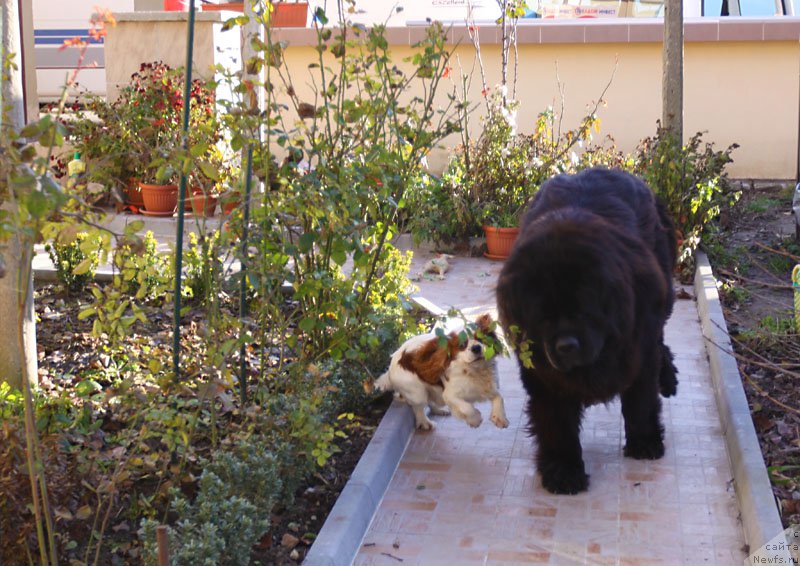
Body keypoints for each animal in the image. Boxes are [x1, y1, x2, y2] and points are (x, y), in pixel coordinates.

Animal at [374, 316, 506, 430]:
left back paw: (440, 410)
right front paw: (475, 420)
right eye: (462, 345)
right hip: (417, 392)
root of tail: (391, 365)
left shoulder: (489, 387)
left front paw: (499, 418)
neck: (474, 370)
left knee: (430, 402)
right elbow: (466, 407)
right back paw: (425, 423)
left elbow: (499, 397)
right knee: (418, 407)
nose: (476, 348)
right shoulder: (450, 395)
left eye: (481, 339)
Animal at [496, 169, 680, 496]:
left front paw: (645, 442)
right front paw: (563, 471)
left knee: (660, 341)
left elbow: (641, 399)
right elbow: (556, 421)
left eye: (584, 310)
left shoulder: (638, 347)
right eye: (543, 317)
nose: (566, 346)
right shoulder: (544, 374)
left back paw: (668, 378)